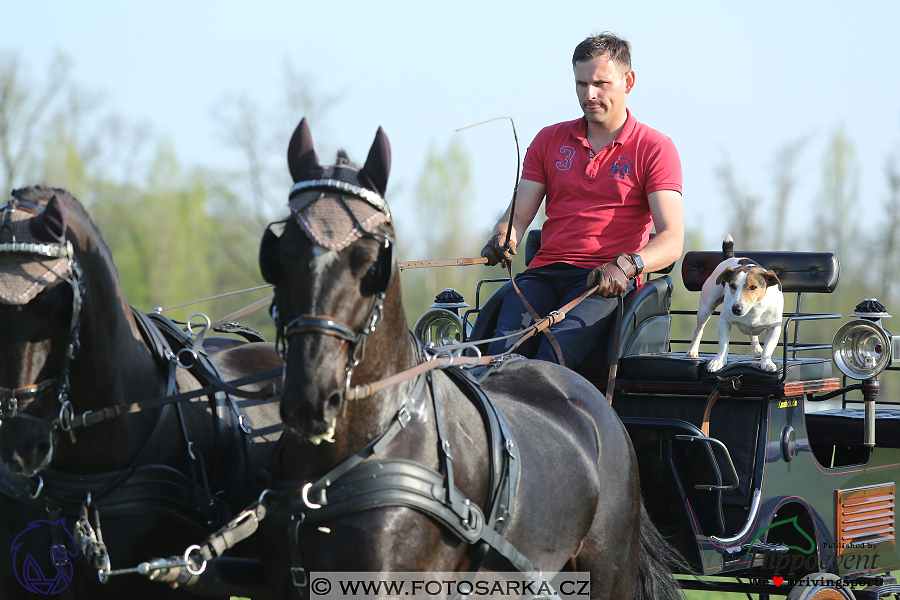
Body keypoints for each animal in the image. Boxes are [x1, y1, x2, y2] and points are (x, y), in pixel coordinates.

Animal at [253, 118, 684, 600]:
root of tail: (601, 409)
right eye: (280, 255)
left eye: (371, 262)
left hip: (610, 571)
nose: (311, 397)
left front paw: (614, 271)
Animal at [684, 238, 784, 370]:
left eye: (753, 287)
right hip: (705, 307)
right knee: (699, 329)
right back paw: (692, 350)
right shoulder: (724, 322)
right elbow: (723, 346)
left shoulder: (774, 327)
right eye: (732, 285)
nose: (736, 309)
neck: (753, 310)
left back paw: (757, 350)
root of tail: (731, 257)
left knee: (753, 335)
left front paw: (766, 362)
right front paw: (718, 361)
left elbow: (768, 347)